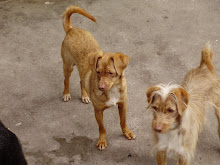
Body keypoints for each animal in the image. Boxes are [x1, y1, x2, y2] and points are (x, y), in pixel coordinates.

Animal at [61, 5, 135, 150]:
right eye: (98, 72)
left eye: (111, 73)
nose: (100, 87)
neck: (112, 90)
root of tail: (72, 29)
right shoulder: (98, 111)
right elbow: (102, 128)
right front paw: (102, 140)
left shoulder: (123, 105)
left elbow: (123, 121)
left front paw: (126, 132)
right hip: (68, 66)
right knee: (66, 80)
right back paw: (66, 93)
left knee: (81, 81)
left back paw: (85, 95)